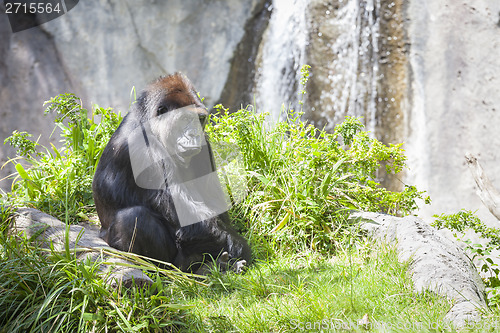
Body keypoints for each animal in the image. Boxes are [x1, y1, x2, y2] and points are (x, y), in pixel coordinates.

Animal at [92, 73, 252, 272]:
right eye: (184, 119)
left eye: (199, 119)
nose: (194, 135)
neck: (149, 123)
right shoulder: (143, 147)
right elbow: (186, 217)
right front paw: (240, 249)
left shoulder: (205, 144)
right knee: (133, 217)